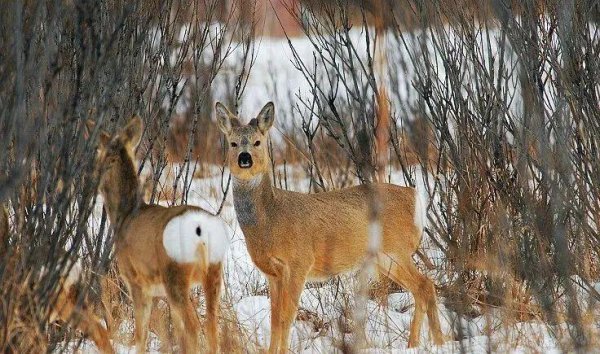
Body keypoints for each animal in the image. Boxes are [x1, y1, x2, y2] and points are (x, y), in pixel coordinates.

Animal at [93, 117, 230, 354]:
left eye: (99, 156)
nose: (91, 180)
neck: (125, 215)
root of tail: (201, 229)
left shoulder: (136, 280)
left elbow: (141, 334)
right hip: (213, 271)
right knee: (211, 326)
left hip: (175, 273)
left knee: (193, 327)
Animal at [216, 101, 446, 352]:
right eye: (232, 143)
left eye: (257, 141)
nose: (244, 158)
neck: (271, 219)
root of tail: (415, 198)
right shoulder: (272, 273)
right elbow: (275, 319)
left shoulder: (299, 262)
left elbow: (287, 316)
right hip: (386, 258)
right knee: (422, 287)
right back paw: (422, 342)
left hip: (396, 250)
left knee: (425, 285)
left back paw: (430, 342)